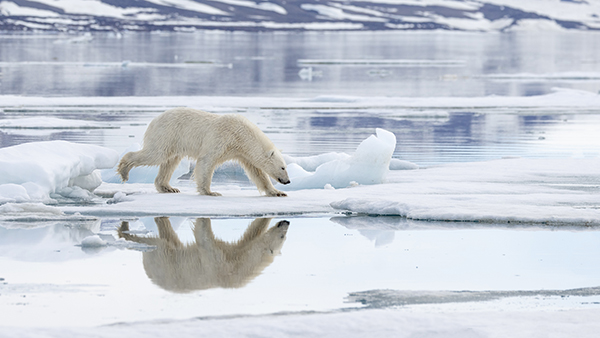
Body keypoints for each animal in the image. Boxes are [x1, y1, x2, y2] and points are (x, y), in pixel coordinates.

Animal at [117, 107, 290, 197]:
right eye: (283, 167)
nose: (288, 181)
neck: (241, 135)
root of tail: (154, 120)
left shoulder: (243, 153)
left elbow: (257, 173)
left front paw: (277, 192)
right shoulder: (221, 139)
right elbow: (206, 162)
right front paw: (211, 192)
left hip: (174, 141)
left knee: (170, 162)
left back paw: (169, 188)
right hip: (167, 134)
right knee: (155, 154)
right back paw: (124, 170)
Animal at [118, 218, 290, 292]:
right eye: (283, 237)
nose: (287, 222)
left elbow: (251, 233)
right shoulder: (220, 263)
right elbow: (205, 240)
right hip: (163, 260)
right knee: (156, 243)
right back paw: (125, 233)